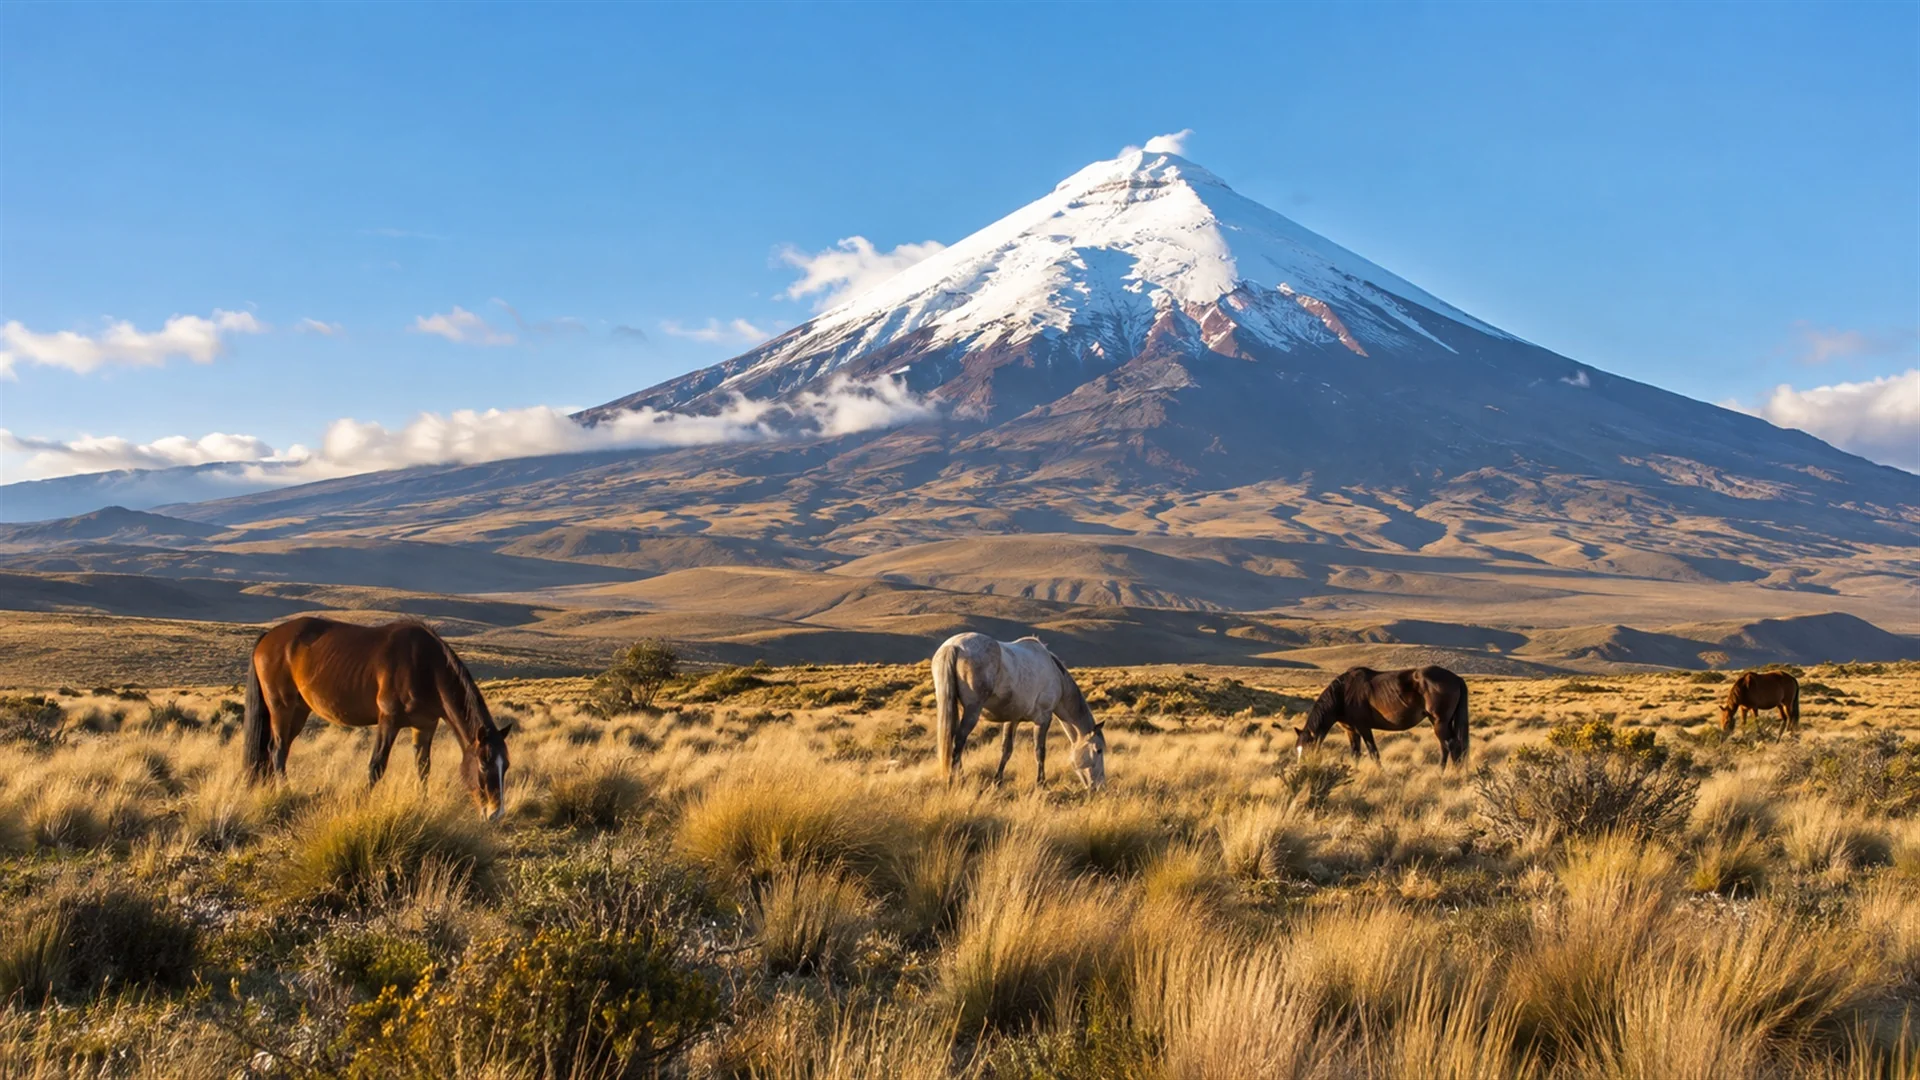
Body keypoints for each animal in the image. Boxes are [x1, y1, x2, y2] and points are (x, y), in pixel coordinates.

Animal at [243, 616, 514, 818]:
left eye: (506, 766)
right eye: (483, 763)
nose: (495, 813)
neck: (425, 667)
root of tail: (267, 637)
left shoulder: (425, 726)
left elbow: (423, 767)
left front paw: (423, 803)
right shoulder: (389, 721)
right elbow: (376, 766)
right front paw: (361, 804)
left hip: (299, 711)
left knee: (277, 750)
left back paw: (271, 788)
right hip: (281, 707)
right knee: (277, 749)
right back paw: (284, 792)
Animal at [931, 632, 1107, 789]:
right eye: (1098, 750)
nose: (1100, 787)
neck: (1056, 674)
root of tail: (954, 645)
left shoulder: (1012, 719)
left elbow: (1006, 750)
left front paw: (997, 782)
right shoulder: (1043, 719)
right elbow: (1040, 751)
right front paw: (1041, 784)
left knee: (953, 740)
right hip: (972, 711)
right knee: (959, 742)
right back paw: (956, 782)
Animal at [1293, 665, 1470, 766]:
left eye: (1308, 749)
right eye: (1298, 750)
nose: (1301, 767)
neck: (1343, 694)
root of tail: (1456, 678)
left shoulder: (1364, 728)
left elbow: (1373, 753)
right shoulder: (1351, 730)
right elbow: (1355, 754)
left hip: (1439, 722)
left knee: (1450, 745)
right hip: (1444, 722)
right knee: (1451, 746)